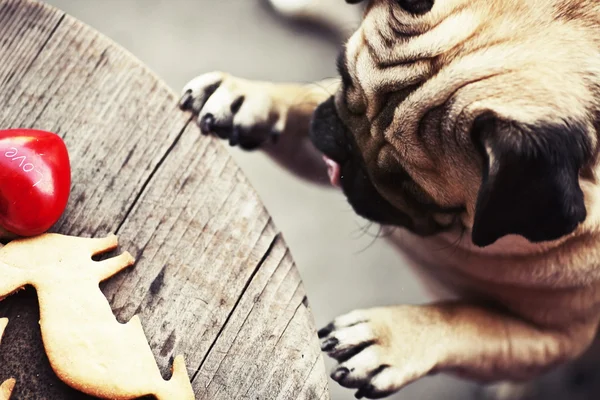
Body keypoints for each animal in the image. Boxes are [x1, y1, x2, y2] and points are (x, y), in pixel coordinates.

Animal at [178, 0, 600, 398]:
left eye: (410, 187)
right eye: (343, 76)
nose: (347, 151)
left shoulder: (550, 340)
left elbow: (467, 320)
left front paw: (388, 338)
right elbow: (303, 106)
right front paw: (247, 97)